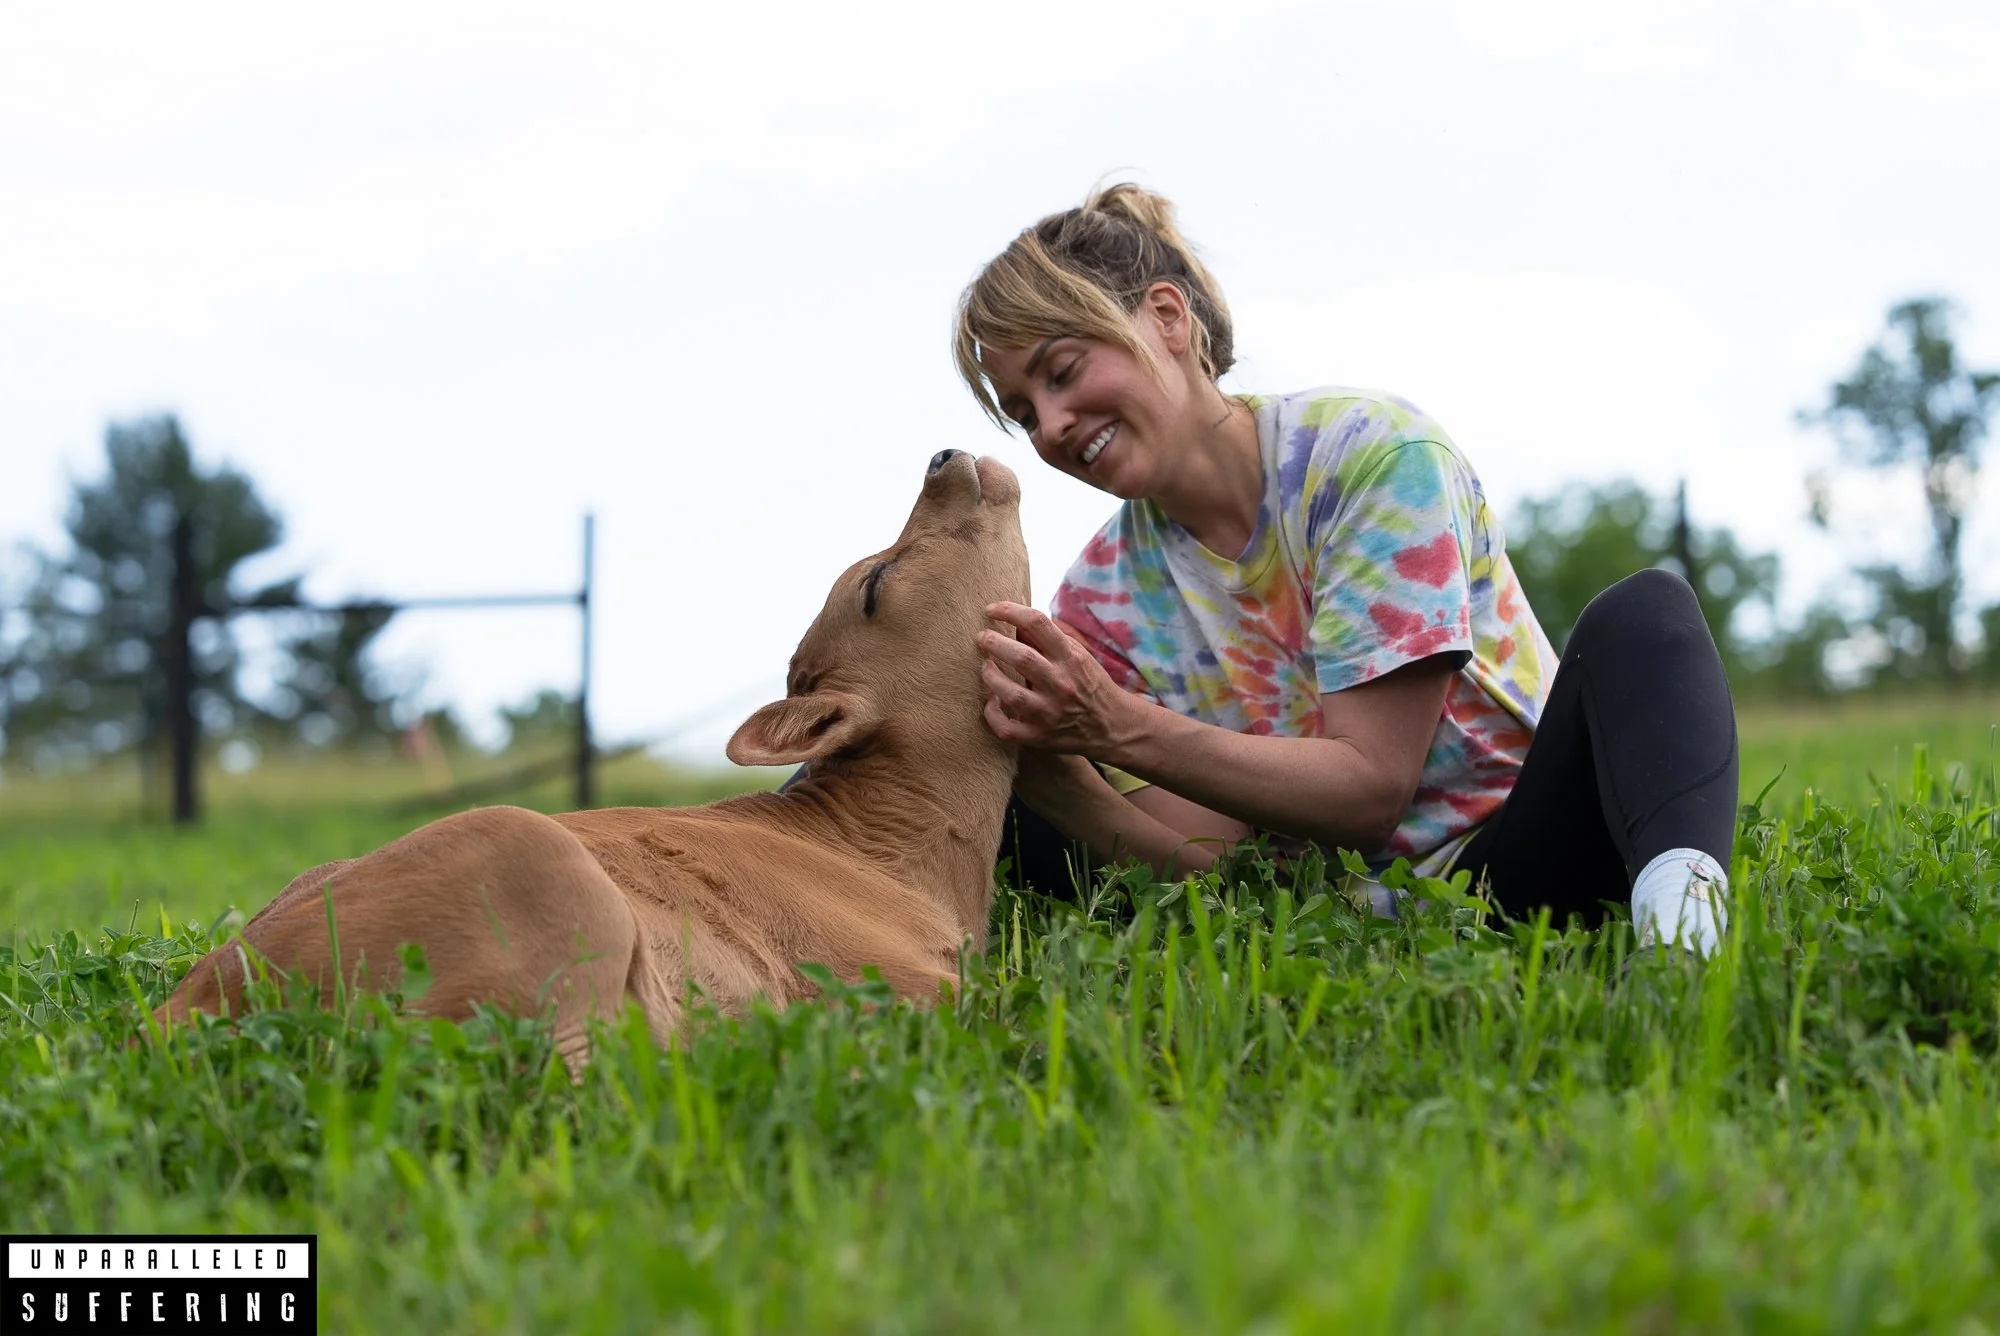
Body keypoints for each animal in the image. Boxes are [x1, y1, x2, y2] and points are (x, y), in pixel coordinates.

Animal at [155, 450, 1030, 1066]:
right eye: (874, 583)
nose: (945, 456)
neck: (912, 857)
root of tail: (190, 999)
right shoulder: (906, 984)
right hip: (539, 872)